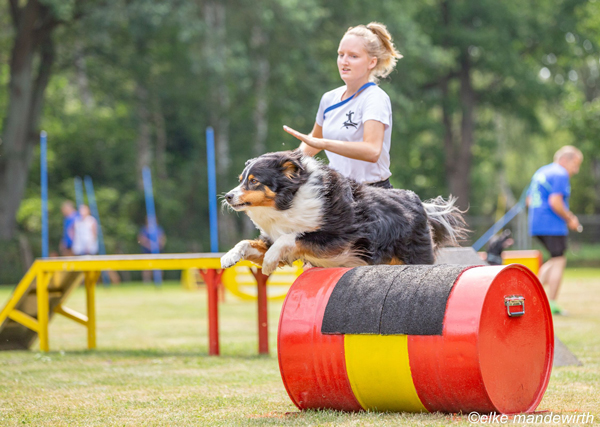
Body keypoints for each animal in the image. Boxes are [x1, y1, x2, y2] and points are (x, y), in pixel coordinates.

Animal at [220, 150, 468, 276]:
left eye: (254, 181)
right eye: (241, 180)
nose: (228, 196)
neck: (290, 200)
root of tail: (418, 202)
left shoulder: (337, 237)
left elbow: (292, 237)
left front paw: (269, 261)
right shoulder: (274, 236)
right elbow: (248, 243)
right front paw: (229, 257)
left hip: (415, 255)